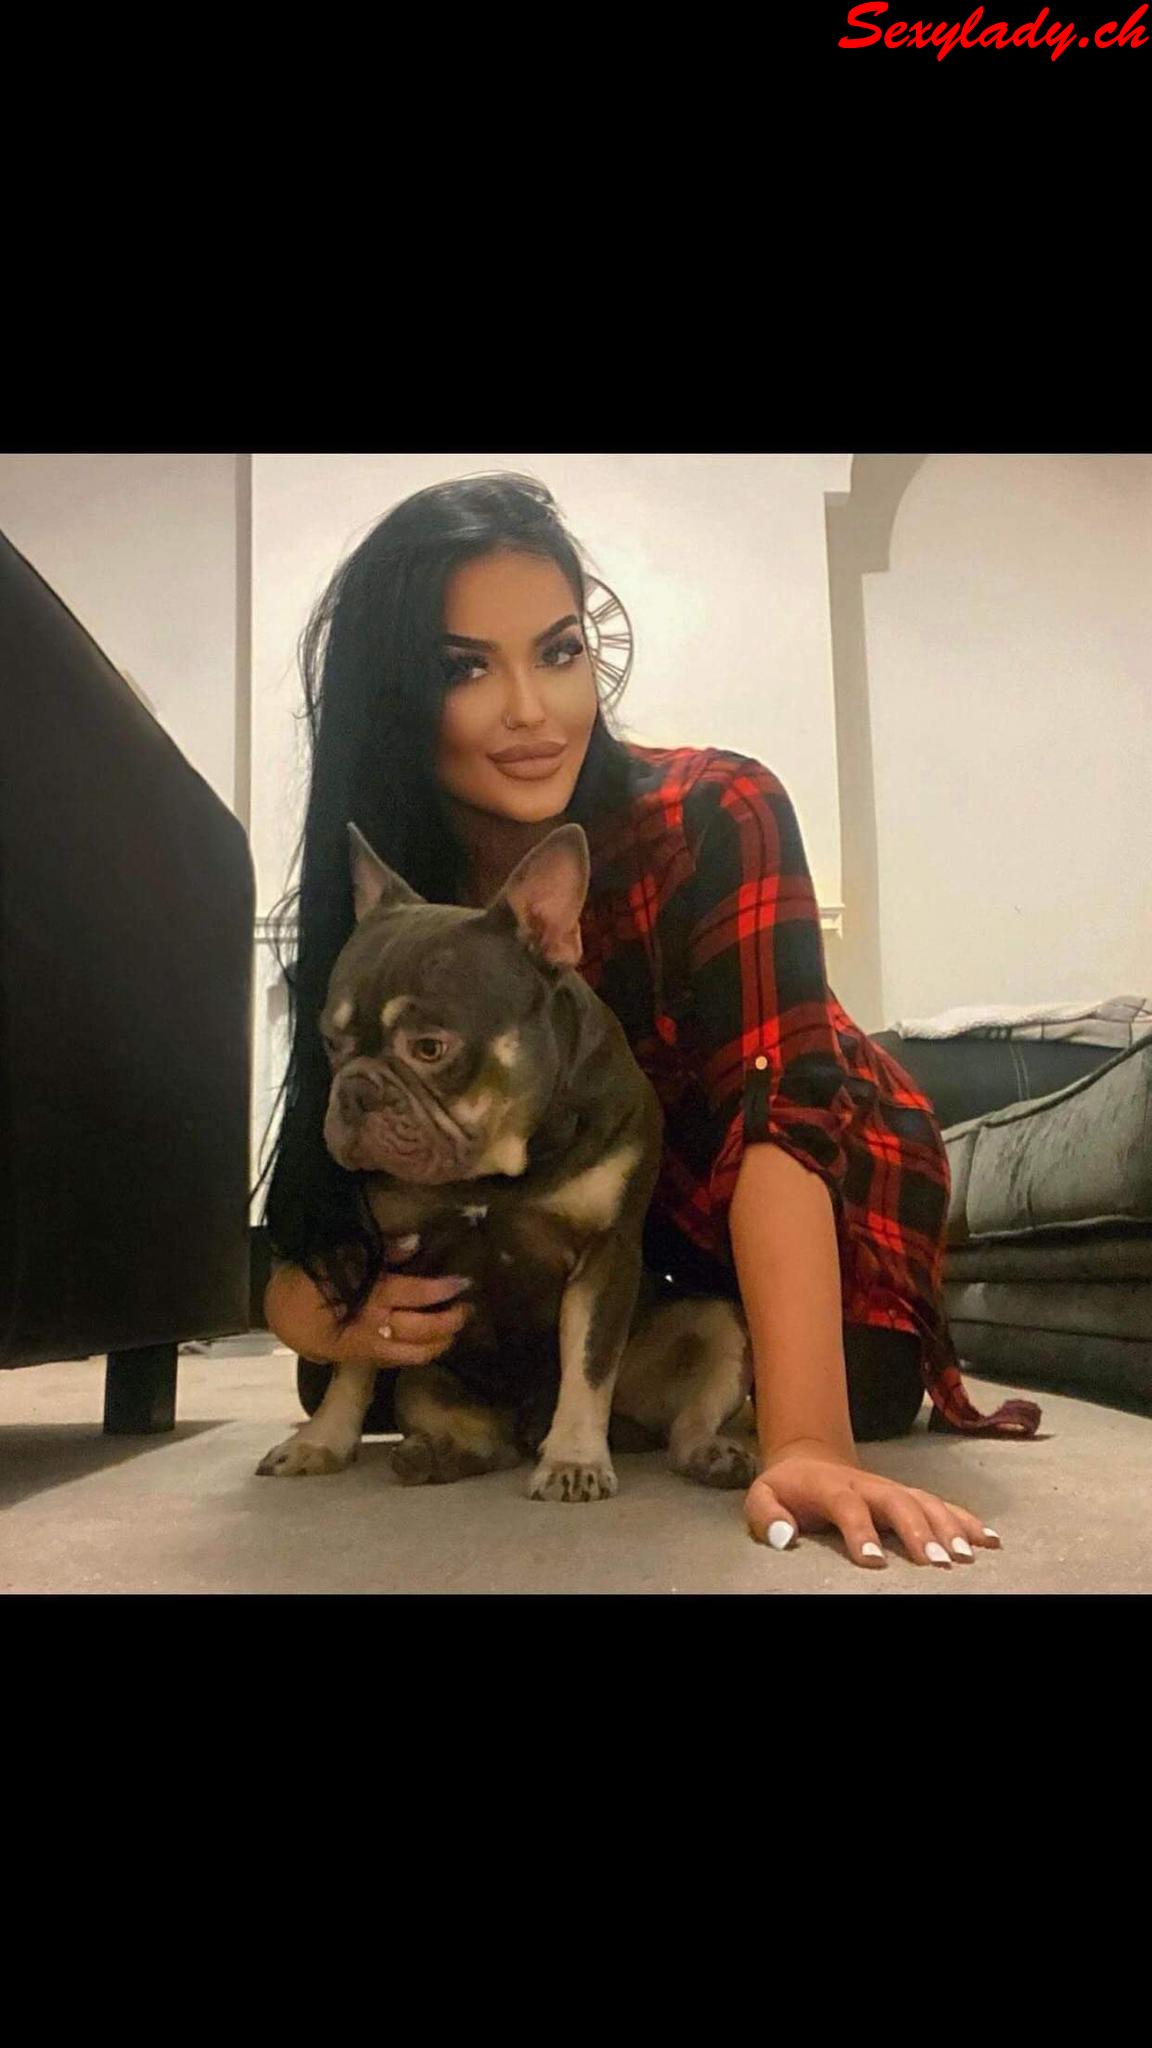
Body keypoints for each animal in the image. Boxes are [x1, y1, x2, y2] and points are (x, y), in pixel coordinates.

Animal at [257, 821, 758, 1500]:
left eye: (429, 1048)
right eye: (332, 1044)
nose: (355, 1090)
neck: (495, 1167)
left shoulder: (604, 1254)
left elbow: (587, 1365)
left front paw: (574, 1459)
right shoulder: (382, 1262)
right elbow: (357, 1358)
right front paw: (323, 1441)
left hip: (720, 1327)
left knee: (686, 1423)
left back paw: (709, 1455)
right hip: (426, 1378)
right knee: (479, 1439)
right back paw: (434, 1454)